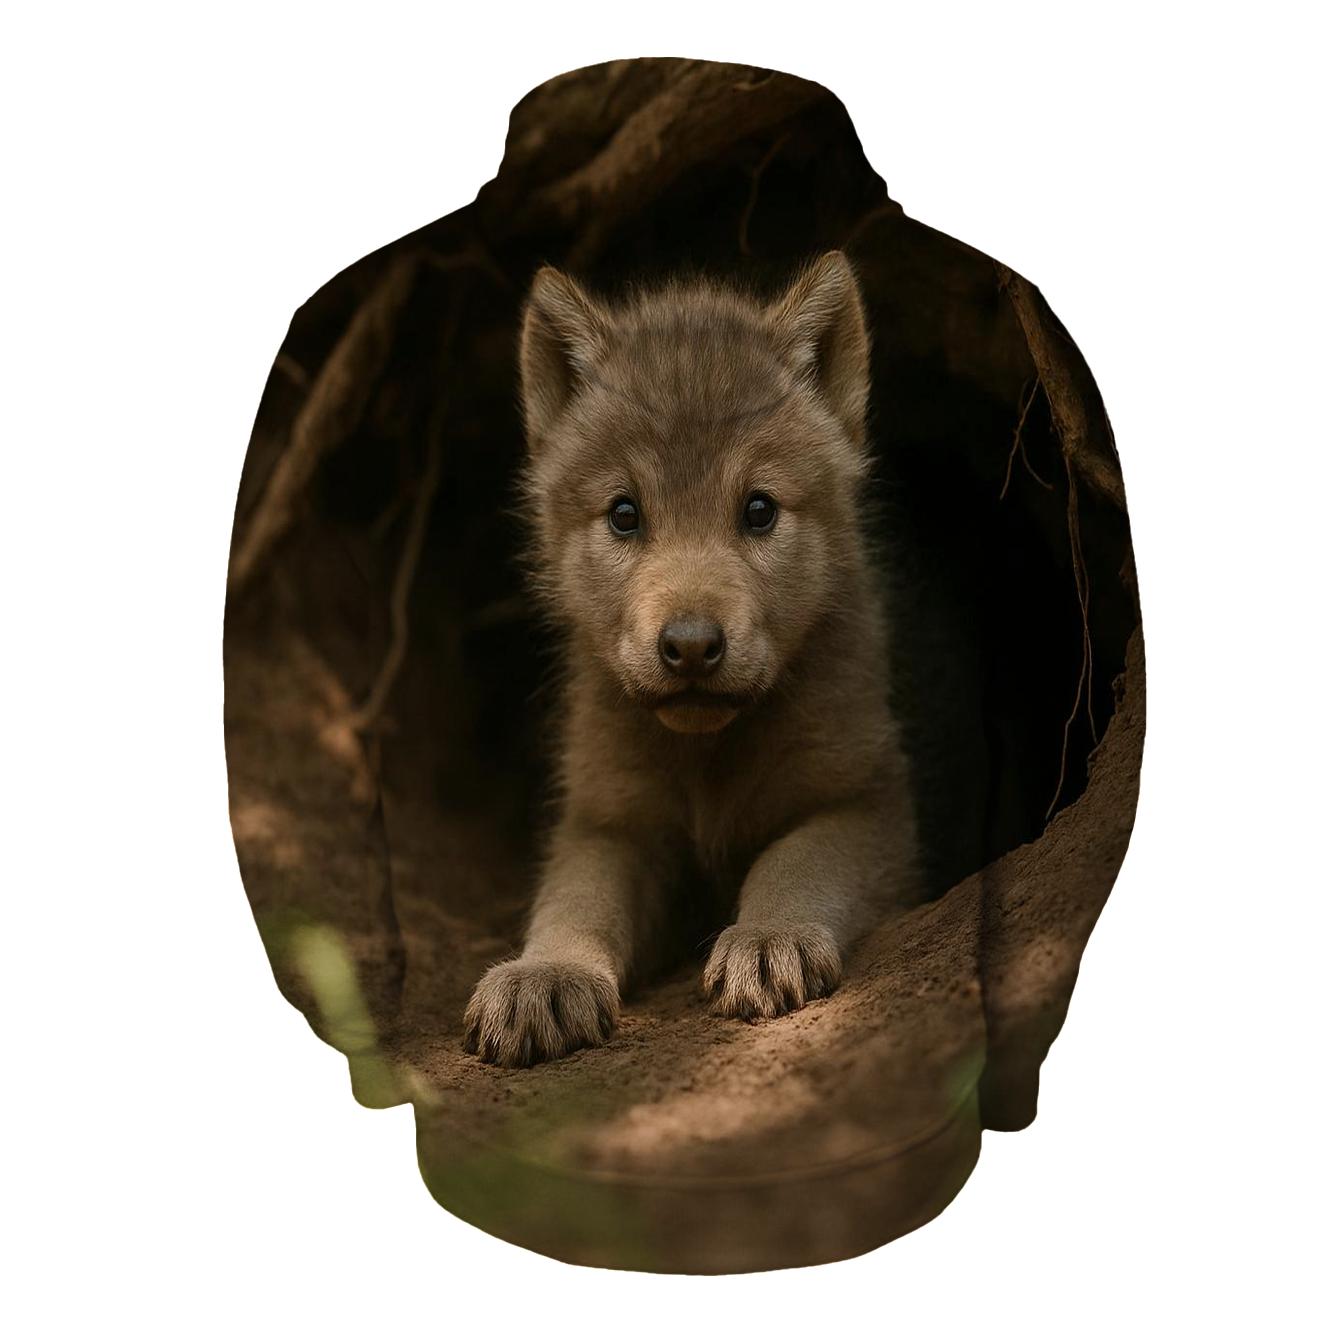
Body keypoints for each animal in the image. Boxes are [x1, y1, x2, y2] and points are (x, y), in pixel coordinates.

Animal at [463, 252, 919, 1067]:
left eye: (759, 509)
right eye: (624, 513)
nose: (691, 646)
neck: (708, 759)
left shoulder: (864, 799)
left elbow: (795, 861)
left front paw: (770, 937)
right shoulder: (610, 821)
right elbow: (574, 900)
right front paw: (543, 975)